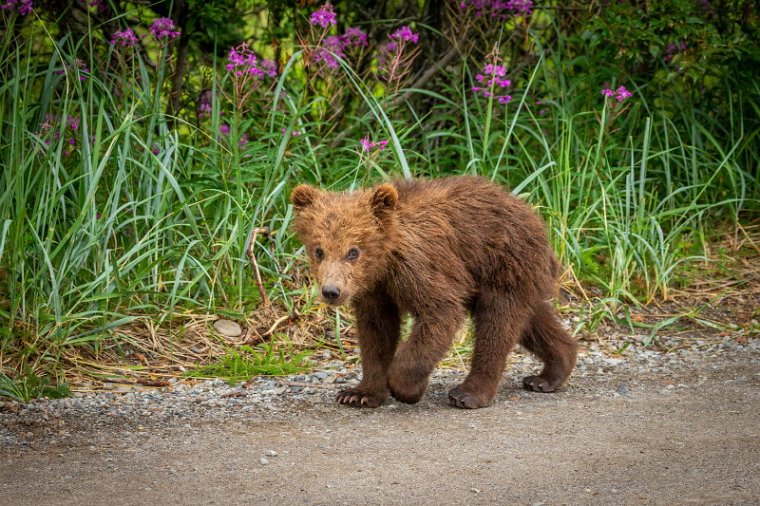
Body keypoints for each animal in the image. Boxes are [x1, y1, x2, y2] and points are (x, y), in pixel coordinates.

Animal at [290, 176, 576, 410]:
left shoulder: (422, 268)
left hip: (501, 264)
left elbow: (440, 312)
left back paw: (469, 394)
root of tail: (533, 214)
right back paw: (550, 373)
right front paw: (359, 393)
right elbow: (376, 333)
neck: (385, 262)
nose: (331, 291)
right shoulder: (375, 291)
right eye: (319, 250)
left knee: (497, 324)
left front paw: (407, 389)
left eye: (353, 251)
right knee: (531, 319)